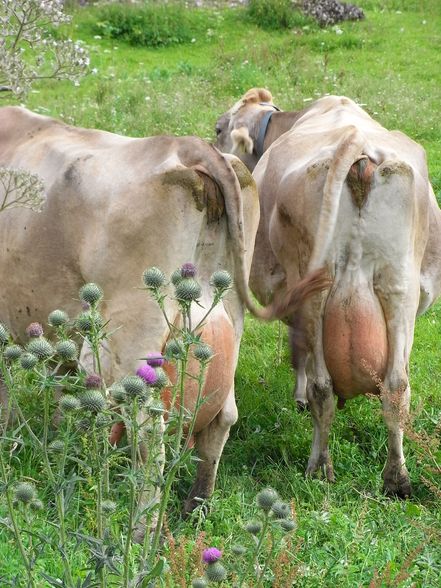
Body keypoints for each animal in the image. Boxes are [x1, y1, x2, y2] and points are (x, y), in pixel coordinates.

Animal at [216, 89, 440, 498]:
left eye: (219, 129)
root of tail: (356, 144)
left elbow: (299, 355)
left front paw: (299, 397)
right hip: (399, 285)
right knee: (397, 387)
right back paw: (396, 480)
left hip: (313, 290)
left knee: (323, 386)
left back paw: (319, 466)